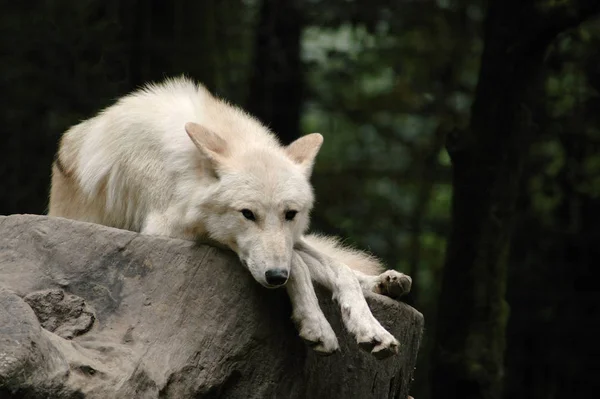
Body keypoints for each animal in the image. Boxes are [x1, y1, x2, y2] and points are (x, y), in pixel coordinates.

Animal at [49, 77, 410, 360]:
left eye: (290, 214)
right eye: (247, 214)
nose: (276, 277)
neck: (185, 169)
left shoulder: (285, 241)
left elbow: (334, 269)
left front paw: (371, 330)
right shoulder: (165, 230)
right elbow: (300, 265)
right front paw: (317, 325)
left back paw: (387, 282)